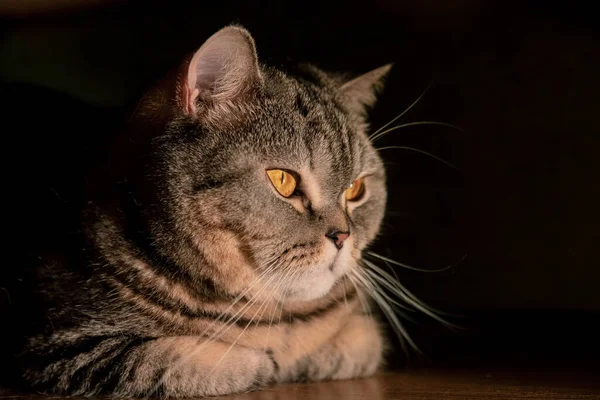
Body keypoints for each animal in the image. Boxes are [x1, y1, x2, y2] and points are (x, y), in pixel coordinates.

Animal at [12, 25, 394, 396]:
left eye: (355, 190)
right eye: (283, 180)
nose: (343, 236)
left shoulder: (361, 335)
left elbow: (360, 342)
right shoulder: (58, 342)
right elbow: (171, 359)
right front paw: (268, 363)